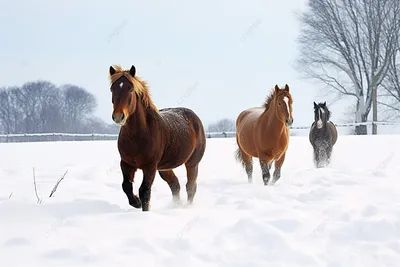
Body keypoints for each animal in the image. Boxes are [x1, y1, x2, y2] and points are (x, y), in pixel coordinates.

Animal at [108, 64, 206, 211]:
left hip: (192, 163)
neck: (137, 135)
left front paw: (144, 209)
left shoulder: (150, 166)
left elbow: (144, 190)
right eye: (112, 89)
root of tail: (194, 116)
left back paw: (187, 207)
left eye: (131, 89)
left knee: (190, 186)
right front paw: (136, 202)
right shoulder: (126, 163)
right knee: (175, 184)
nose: (119, 116)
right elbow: (126, 186)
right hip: (164, 168)